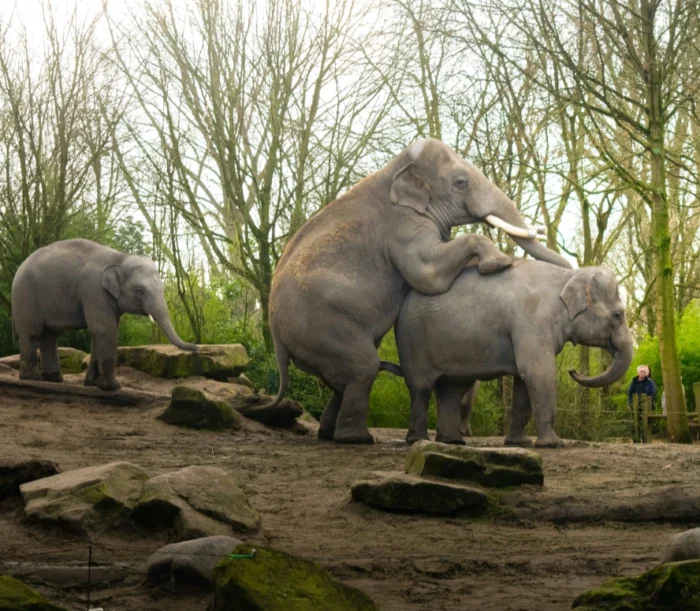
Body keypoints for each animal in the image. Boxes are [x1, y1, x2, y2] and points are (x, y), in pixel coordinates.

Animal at [11, 238, 197, 391]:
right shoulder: (94, 291)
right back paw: (32, 378)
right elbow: (105, 329)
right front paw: (113, 387)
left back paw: (54, 380)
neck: (120, 257)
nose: (196, 349)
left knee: (50, 336)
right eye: (139, 291)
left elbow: (98, 333)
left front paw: (93, 384)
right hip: (25, 295)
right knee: (31, 333)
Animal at [266, 138, 572, 444]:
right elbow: (427, 273)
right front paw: (499, 263)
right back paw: (358, 438)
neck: (394, 169)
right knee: (364, 366)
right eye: (460, 182)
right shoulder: (402, 225)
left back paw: (329, 434)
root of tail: (274, 332)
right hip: (320, 325)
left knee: (344, 379)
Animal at [390, 260, 633, 448]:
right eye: (617, 316)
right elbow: (538, 373)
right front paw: (554, 444)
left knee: (452, 389)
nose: (572, 370)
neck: (569, 274)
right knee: (421, 388)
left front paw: (519, 443)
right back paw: (417, 440)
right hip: (412, 339)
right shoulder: (531, 322)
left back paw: (452, 442)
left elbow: (523, 381)